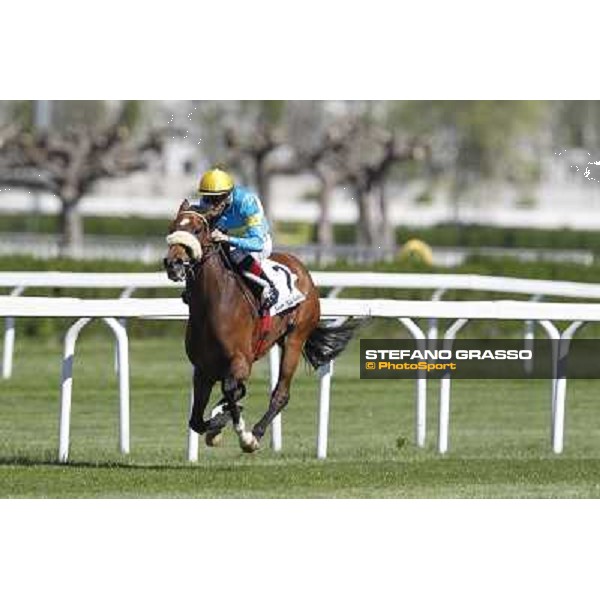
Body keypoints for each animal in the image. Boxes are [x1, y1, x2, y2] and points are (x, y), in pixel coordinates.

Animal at [162, 199, 354, 452]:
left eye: (198, 229)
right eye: (172, 227)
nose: (172, 263)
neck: (213, 304)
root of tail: (301, 268)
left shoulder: (241, 361)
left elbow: (230, 388)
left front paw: (241, 432)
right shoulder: (203, 369)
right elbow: (196, 420)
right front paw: (217, 423)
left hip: (294, 338)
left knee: (281, 393)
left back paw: (256, 434)